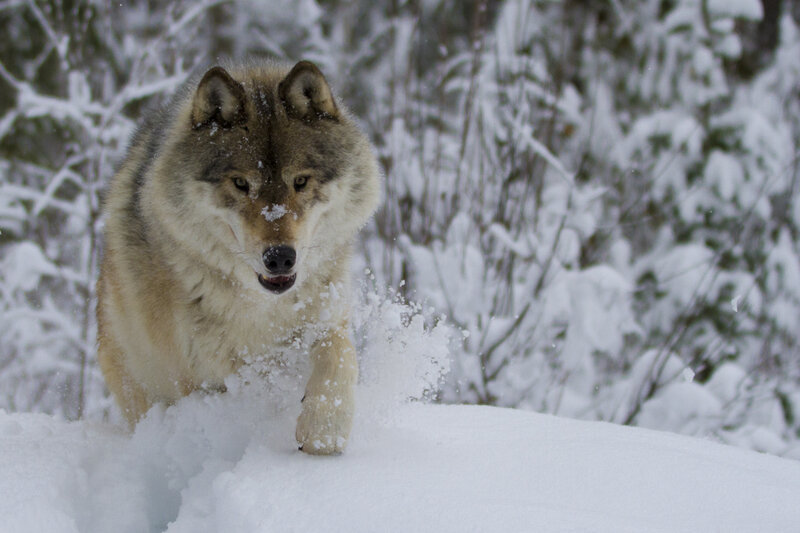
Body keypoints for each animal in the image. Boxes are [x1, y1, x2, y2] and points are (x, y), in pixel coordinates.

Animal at [96, 60, 380, 455]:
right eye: (241, 184)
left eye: (301, 181)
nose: (280, 258)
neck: (260, 305)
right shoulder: (202, 375)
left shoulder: (327, 316)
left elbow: (339, 357)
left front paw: (324, 430)